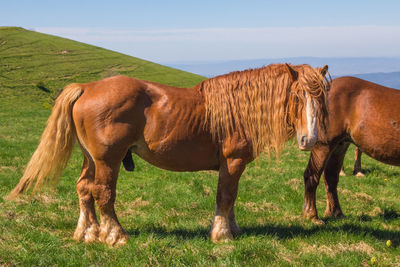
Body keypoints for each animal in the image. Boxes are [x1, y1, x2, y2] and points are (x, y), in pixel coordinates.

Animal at [7, 63, 330, 246]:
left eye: (321, 99)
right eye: (296, 96)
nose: (309, 139)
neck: (238, 110)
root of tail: (86, 87)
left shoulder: (233, 167)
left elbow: (231, 198)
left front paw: (233, 229)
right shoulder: (232, 162)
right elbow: (225, 197)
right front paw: (222, 235)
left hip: (91, 159)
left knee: (84, 189)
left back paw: (88, 233)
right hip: (108, 161)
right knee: (103, 194)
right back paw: (115, 236)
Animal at [304, 76, 400, 223]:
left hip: (340, 145)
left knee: (331, 177)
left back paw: (335, 213)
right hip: (324, 144)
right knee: (311, 175)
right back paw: (311, 215)